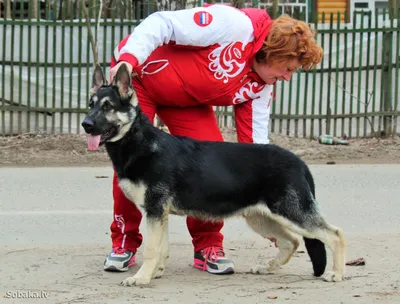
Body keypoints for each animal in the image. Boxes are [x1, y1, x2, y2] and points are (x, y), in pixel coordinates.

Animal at [82, 63, 346, 286]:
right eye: (90, 104)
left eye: (108, 106)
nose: (85, 124)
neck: (141, 143)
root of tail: (300, 162)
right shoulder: (158, 214)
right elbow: (161, 248)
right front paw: (155, 273)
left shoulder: (155, 212)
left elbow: (151, 249)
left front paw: (141, 278)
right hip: (261, 218)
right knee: (290, 241)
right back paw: (268, 267)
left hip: (292, 213)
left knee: (334, 234)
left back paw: (337, 273)